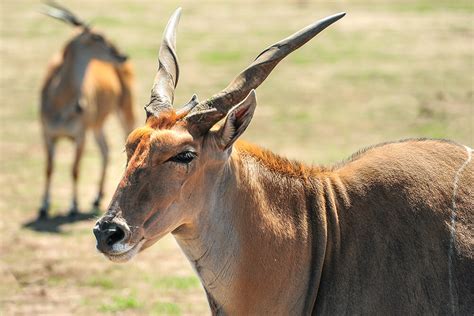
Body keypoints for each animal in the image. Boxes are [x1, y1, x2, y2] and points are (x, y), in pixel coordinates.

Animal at [37, 2, 134, 220]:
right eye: (97, 37)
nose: (122, 55)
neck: (60, 102)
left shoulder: (80, 135)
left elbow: (74, 169)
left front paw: (73, 206)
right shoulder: (47, 134)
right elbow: (48, 168)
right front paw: (44, 207)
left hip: (125, 109)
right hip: (97, 125)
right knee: (105, 149)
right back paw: (97, 198)